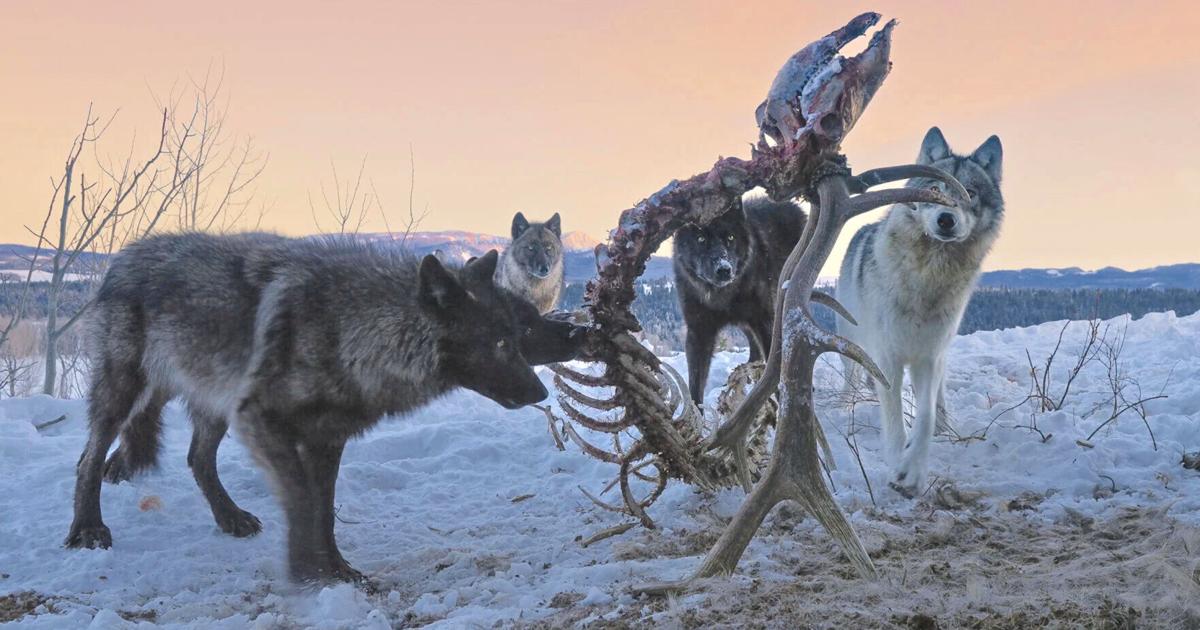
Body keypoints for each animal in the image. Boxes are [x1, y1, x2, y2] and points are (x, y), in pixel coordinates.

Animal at [65, 233, 584, 584]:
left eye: (516, 335)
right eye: (501, 342)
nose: (540, 394)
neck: (351, 331)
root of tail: (124, 255)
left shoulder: (326, 440)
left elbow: (324, 510)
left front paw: (335, 570)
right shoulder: (268, 426)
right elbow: (302, 504)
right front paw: (307, 572)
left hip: (214, 402)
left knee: (197, 458)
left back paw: (230, 518)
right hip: (124, 390)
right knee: (89, 458)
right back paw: (88, 530)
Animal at [673, 197, 807, 405]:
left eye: (730, 238)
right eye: (701, 239)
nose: (723, 269)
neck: (722, 296)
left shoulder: (765, 320)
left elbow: (773, 368)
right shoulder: (699, 331)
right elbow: (695, 383)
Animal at [837, 126, 1004, 497]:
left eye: (970, 192)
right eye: (934, 190)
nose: (946, 219)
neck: (929, 277)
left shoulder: (929, 355)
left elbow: (924, 417)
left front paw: (913, 471)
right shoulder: (888, 358)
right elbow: (895, 418)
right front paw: (898, 462)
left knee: (938, 398)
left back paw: (945, 425)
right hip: (851, 340)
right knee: (851, 379)